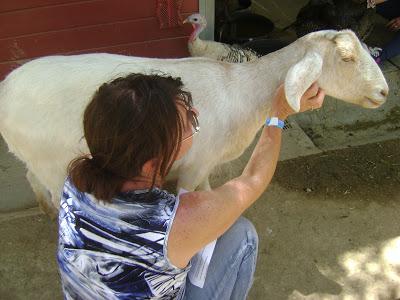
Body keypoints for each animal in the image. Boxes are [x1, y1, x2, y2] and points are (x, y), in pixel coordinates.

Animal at [0, 29, 390, 216]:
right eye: (346, 57)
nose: (385, 92)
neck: (243, 90)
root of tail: (7, 89)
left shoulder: (206, 162)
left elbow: (208, 192)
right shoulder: (194, 163)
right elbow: (192, 195)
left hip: (36, 154)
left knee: (30, 175)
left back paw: (45, 208)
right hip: (52, 162)